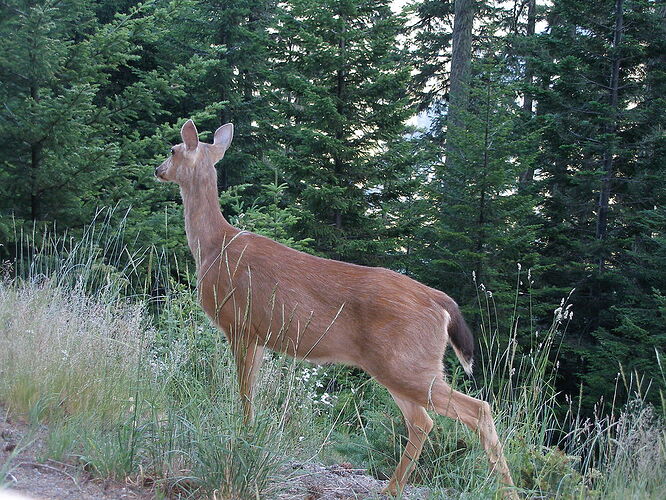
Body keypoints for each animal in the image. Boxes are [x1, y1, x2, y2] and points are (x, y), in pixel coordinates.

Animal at [156, 119, 520, 498]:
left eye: (172, 150)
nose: (158, 170)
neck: (213, 246)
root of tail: (441, 301)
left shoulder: (239, 323)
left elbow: (244, 393)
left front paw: (243, 436)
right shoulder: (258, 335)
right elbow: (251, 392)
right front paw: (250, 434)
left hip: (406, 364)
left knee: (477, 409)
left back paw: (506, 488)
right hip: (402, 365)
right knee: (423, 421)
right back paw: (392, 488)